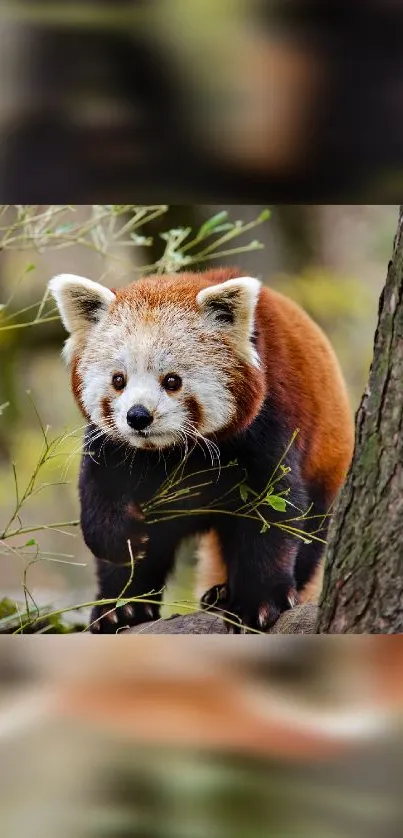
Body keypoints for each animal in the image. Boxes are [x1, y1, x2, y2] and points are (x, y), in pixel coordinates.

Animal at [49, 270, 356, 636]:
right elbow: (101, 498)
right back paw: (122, 609)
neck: (171, 451)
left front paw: (258, 601)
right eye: (118, 380)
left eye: (172, 381)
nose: (137, 416)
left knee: (311, 535)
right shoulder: (113, 446)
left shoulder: (270, 423)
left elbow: (275, 513)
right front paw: (121, 541)